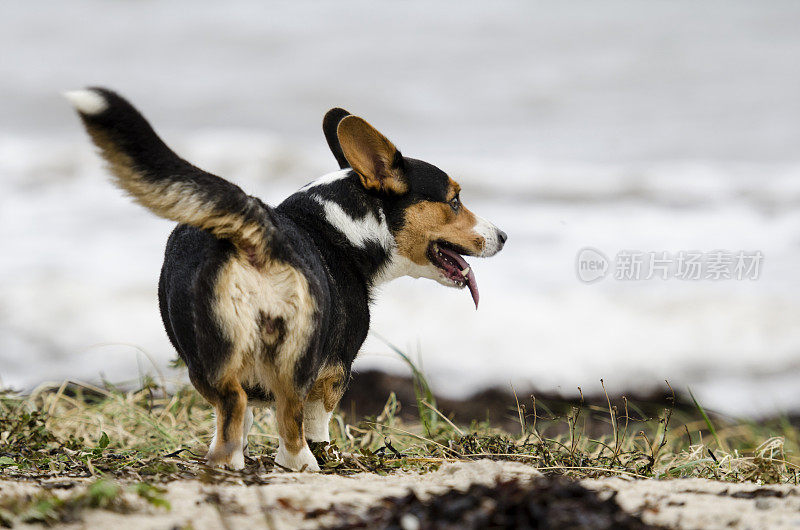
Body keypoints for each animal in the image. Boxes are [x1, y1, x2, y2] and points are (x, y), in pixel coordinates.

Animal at [67, 87, 506, 470]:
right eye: (454, 200)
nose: (503, 237)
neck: (345, 226)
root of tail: (256, 228)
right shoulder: (335, 369)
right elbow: (316, 418)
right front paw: (322, 452)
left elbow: (243, 419)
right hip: (297, 354)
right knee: (285, 414)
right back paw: (301, 462)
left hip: (207, 353)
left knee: (231, 408)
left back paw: (228, 464)